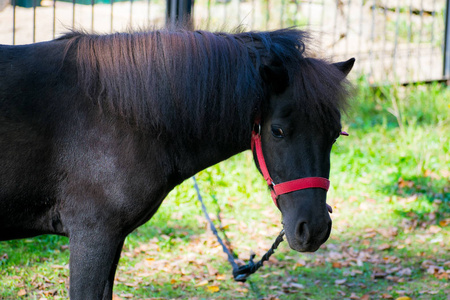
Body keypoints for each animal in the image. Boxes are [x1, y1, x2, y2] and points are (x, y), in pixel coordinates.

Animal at [0, 27, 354, 298]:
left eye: (336, 134)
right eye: (277, 131)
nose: (314, 229)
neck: (115, 113)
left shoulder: (112, 239)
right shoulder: (92, 235)